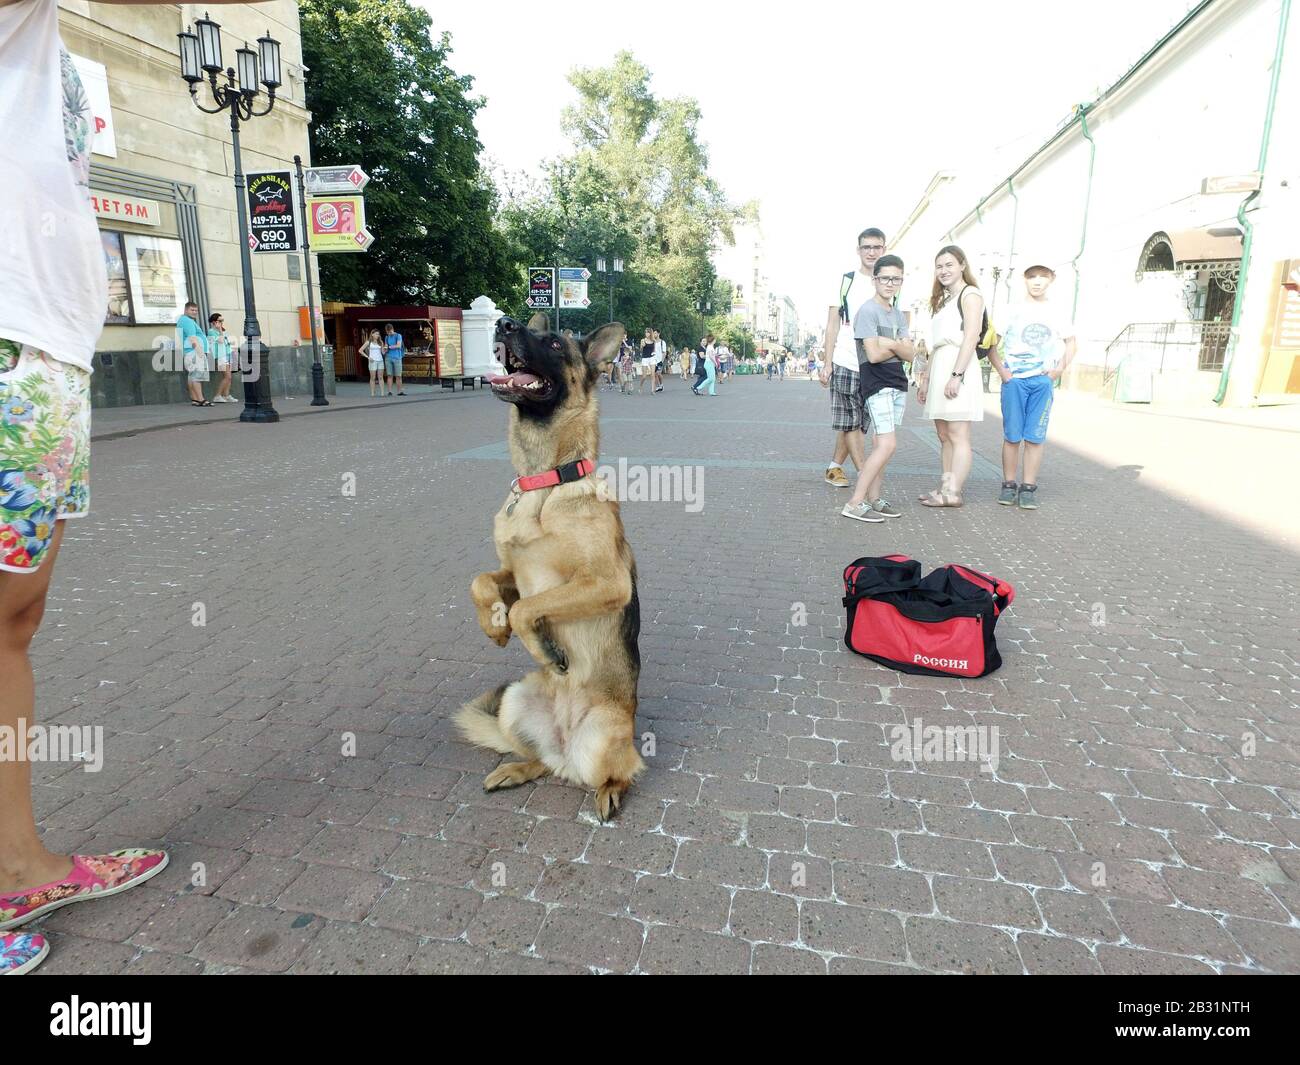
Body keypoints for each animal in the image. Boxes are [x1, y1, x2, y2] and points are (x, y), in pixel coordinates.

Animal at [452, 312, 644, 821]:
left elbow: (528, 609)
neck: (545, 483)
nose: (504, 323)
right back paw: (516, 769)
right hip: (515, 702)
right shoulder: (511, 574)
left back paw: (609, 791)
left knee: (619, 770)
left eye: (555, 342)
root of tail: (565, 744)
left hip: (603, 733)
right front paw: (494, 626)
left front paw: (544, 648)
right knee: (542, 760)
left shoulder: (605, 583)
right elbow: (481, 582)